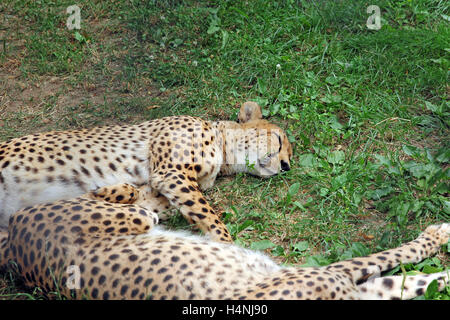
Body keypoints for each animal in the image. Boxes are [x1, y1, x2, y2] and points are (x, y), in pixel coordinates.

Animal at [0, 102, 292, 242]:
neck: (222, 147)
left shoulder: (161, 183)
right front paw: (227, 246)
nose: (286, 166)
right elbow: (210, 216)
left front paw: (112, 193)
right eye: (279, 140)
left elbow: (145, 200)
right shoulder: (172, 173)